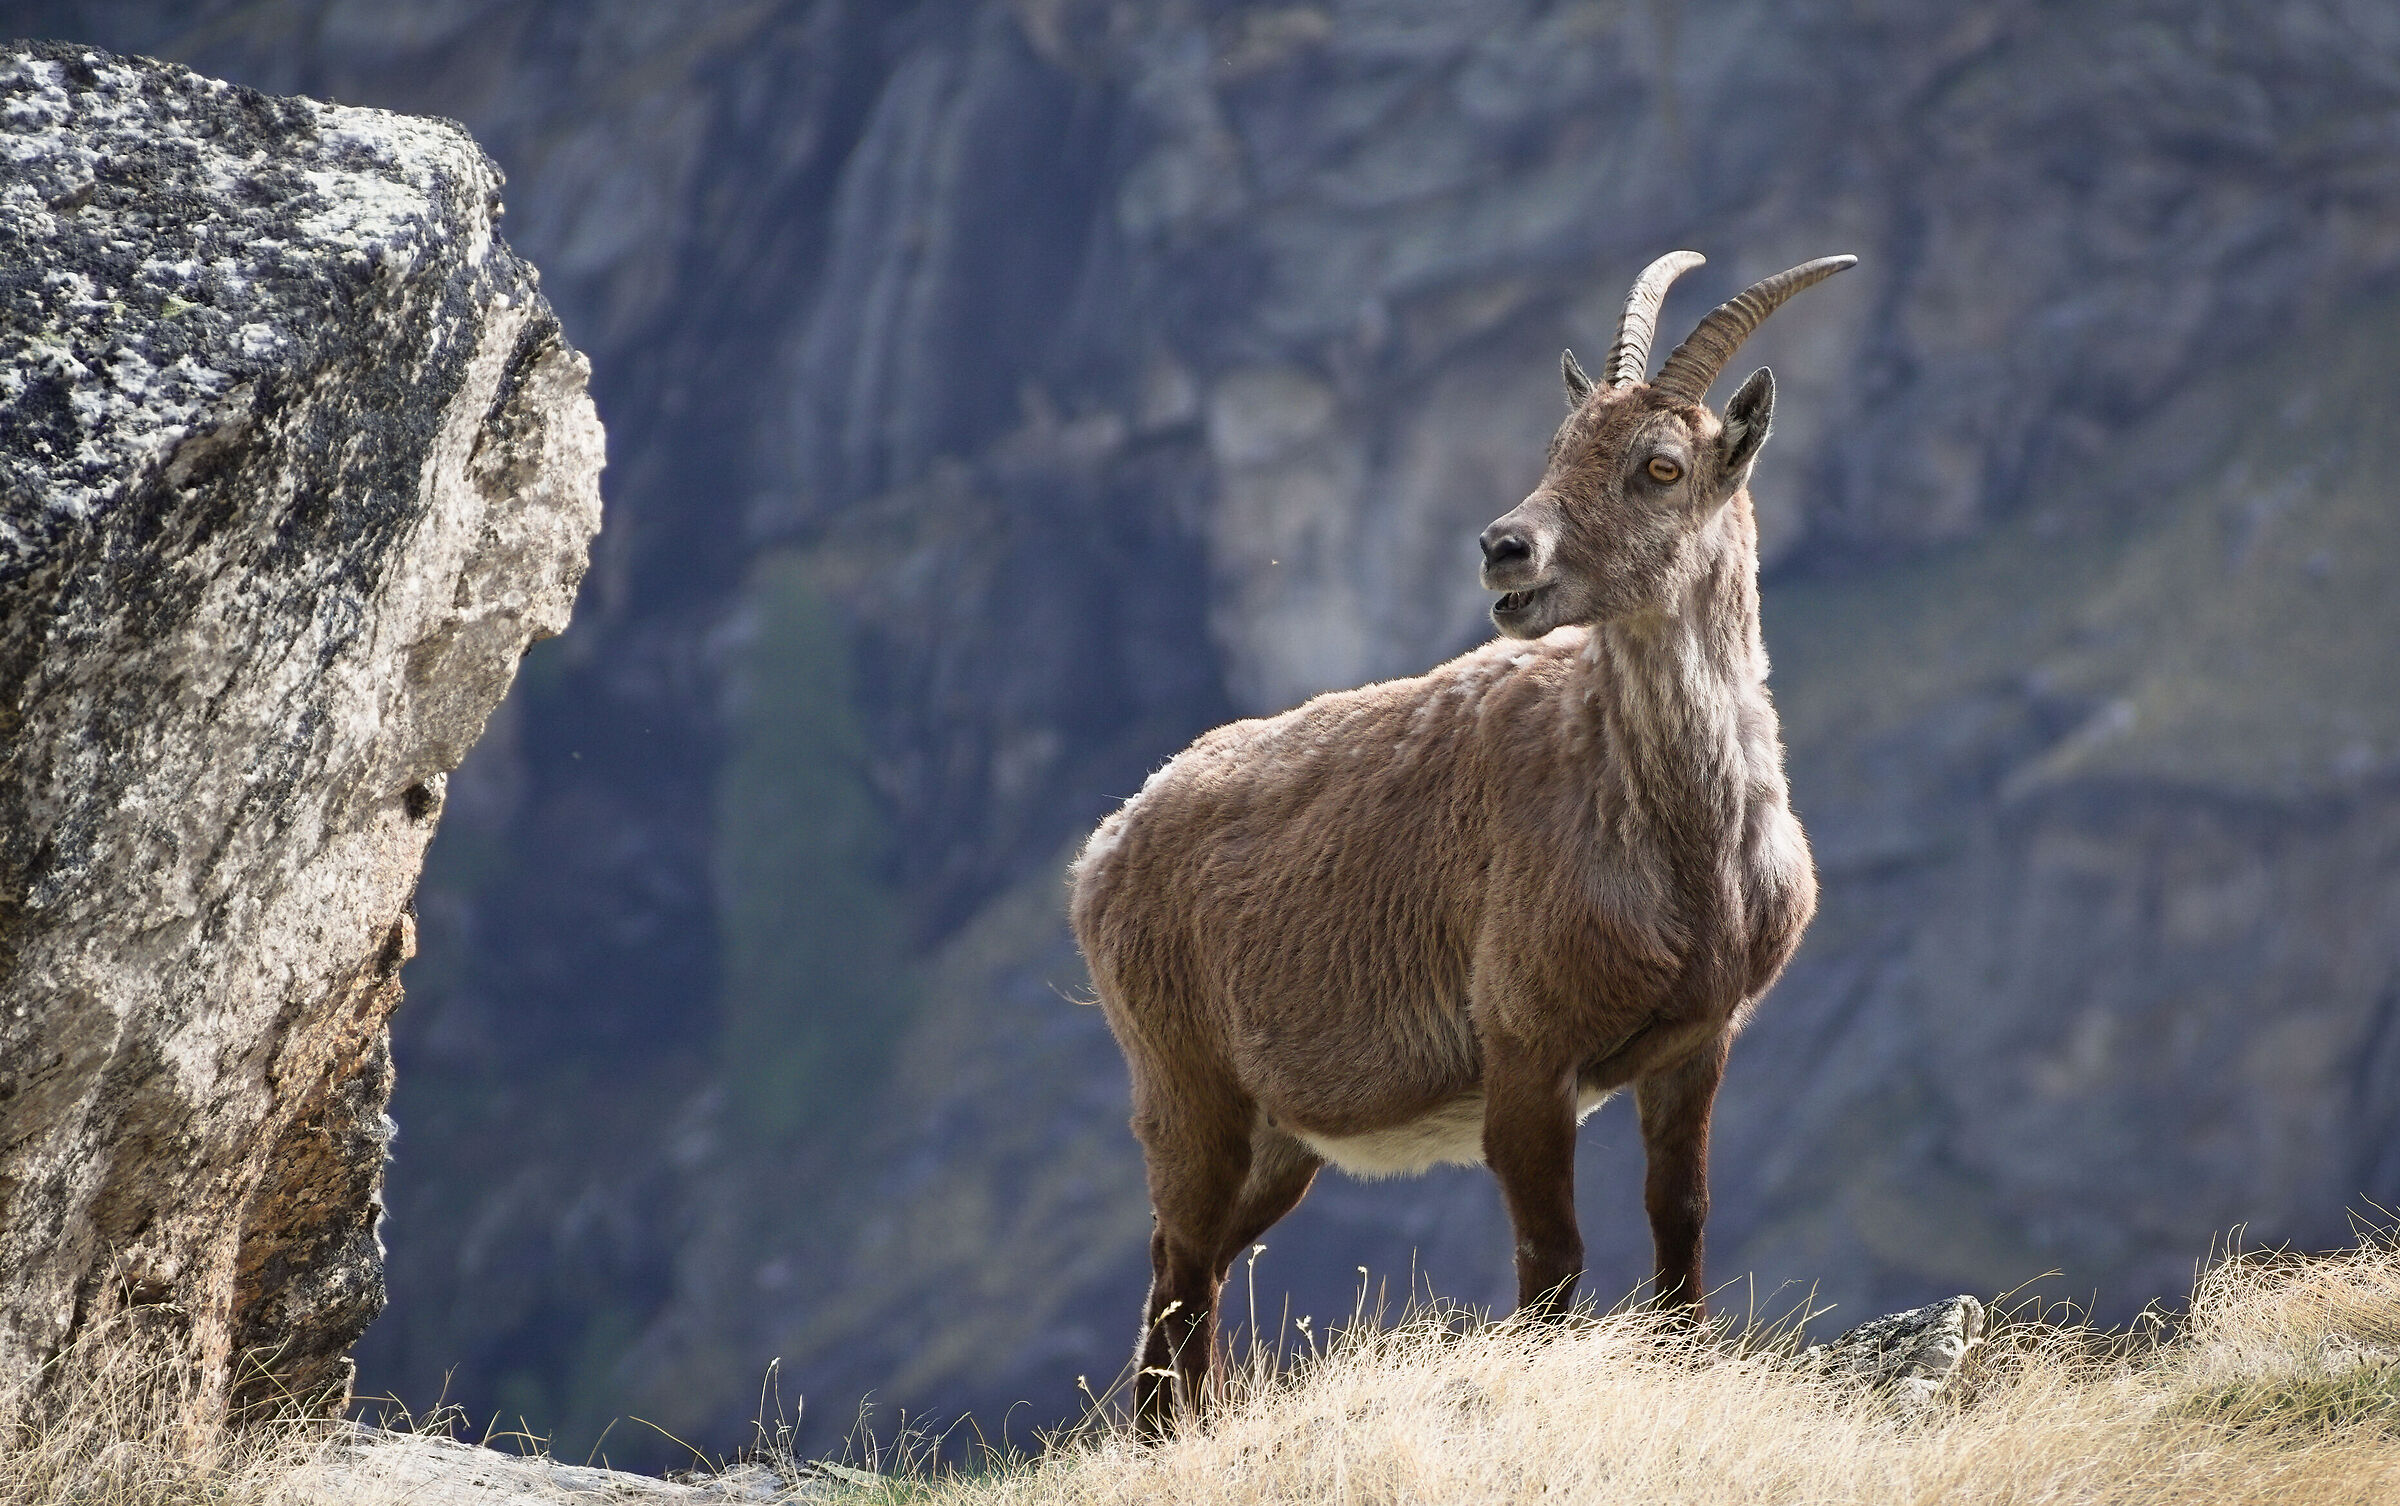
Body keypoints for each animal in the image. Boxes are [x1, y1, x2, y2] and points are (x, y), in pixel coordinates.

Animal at [1070, 252, 1850, 1435]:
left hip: (1279, 1140)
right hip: (1186, 1084)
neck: (1676, 838)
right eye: (1556, 448)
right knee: (1180, 1268)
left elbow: (1681, 1214)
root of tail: (1103, 850)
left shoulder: (1697, 1042)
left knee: (1185, 1267)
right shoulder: (1525, 1050)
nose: (1504, 547)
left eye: (1659, 466)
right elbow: (1550, 1257)